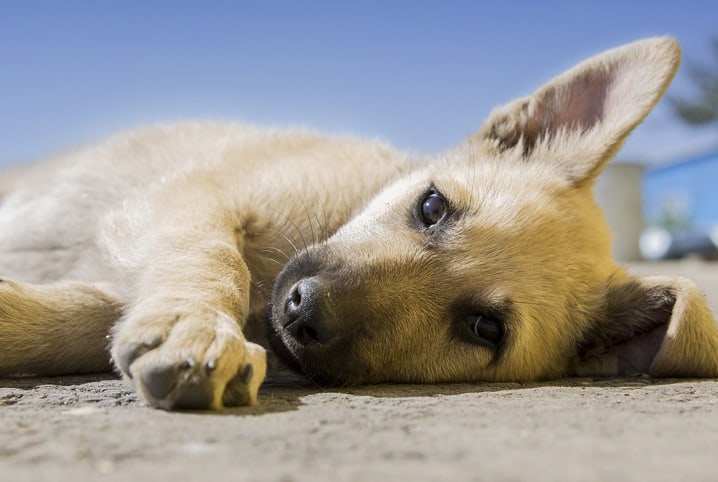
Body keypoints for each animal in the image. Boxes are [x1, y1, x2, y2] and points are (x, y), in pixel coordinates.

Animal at [1, 35, 718, 408]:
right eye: (432, 207)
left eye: (484, 328)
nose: (301, 309)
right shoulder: (189, 197)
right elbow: (212, 258)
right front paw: (196, 326)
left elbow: (90, 314)